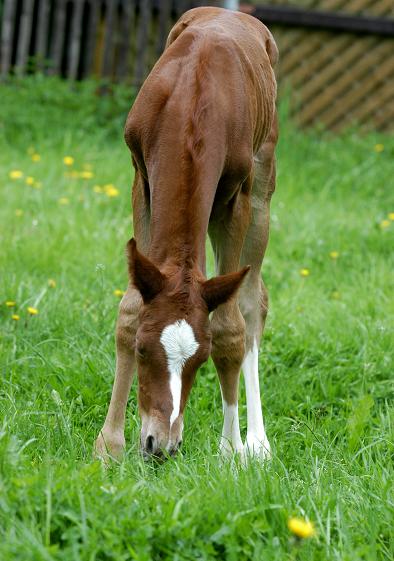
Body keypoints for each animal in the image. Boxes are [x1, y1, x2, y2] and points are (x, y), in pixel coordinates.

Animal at [95, 7, 278, 460]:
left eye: (200, 360)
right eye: (143, 350)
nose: (160, 445)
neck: (194, 98)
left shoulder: (236, 197)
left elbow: (230, 327)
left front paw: (230, 451)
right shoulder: (141, 176)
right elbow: (130, 308)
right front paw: (109, 447)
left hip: (261, 189)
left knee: (253, 301)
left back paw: (258, 441)